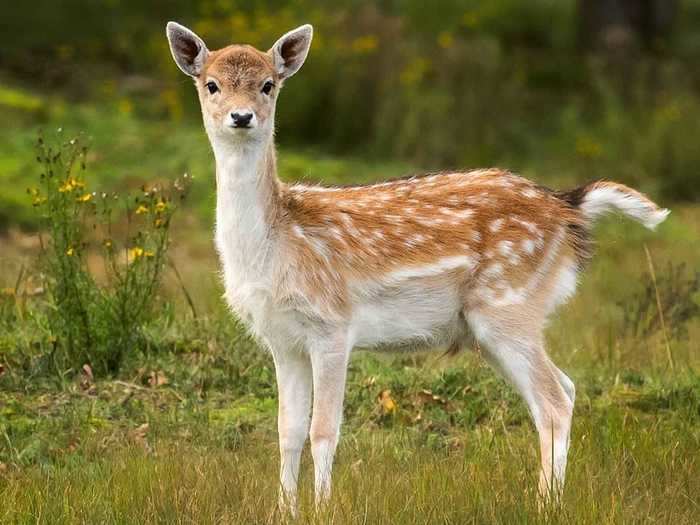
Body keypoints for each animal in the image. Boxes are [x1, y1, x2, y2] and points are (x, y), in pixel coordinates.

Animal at [165, 21, 672, 516]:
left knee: (552, 401)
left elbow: (323, 430)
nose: (241, 116)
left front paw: (322, 509)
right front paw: (284, 511)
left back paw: (545, 505)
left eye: (268, 84)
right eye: (211, 84)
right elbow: (288, 432)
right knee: (563, 388)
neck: (275, 246)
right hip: (495, 323)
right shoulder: (282, 338)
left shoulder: (333, 325)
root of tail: (569, 209)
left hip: (508, 303)